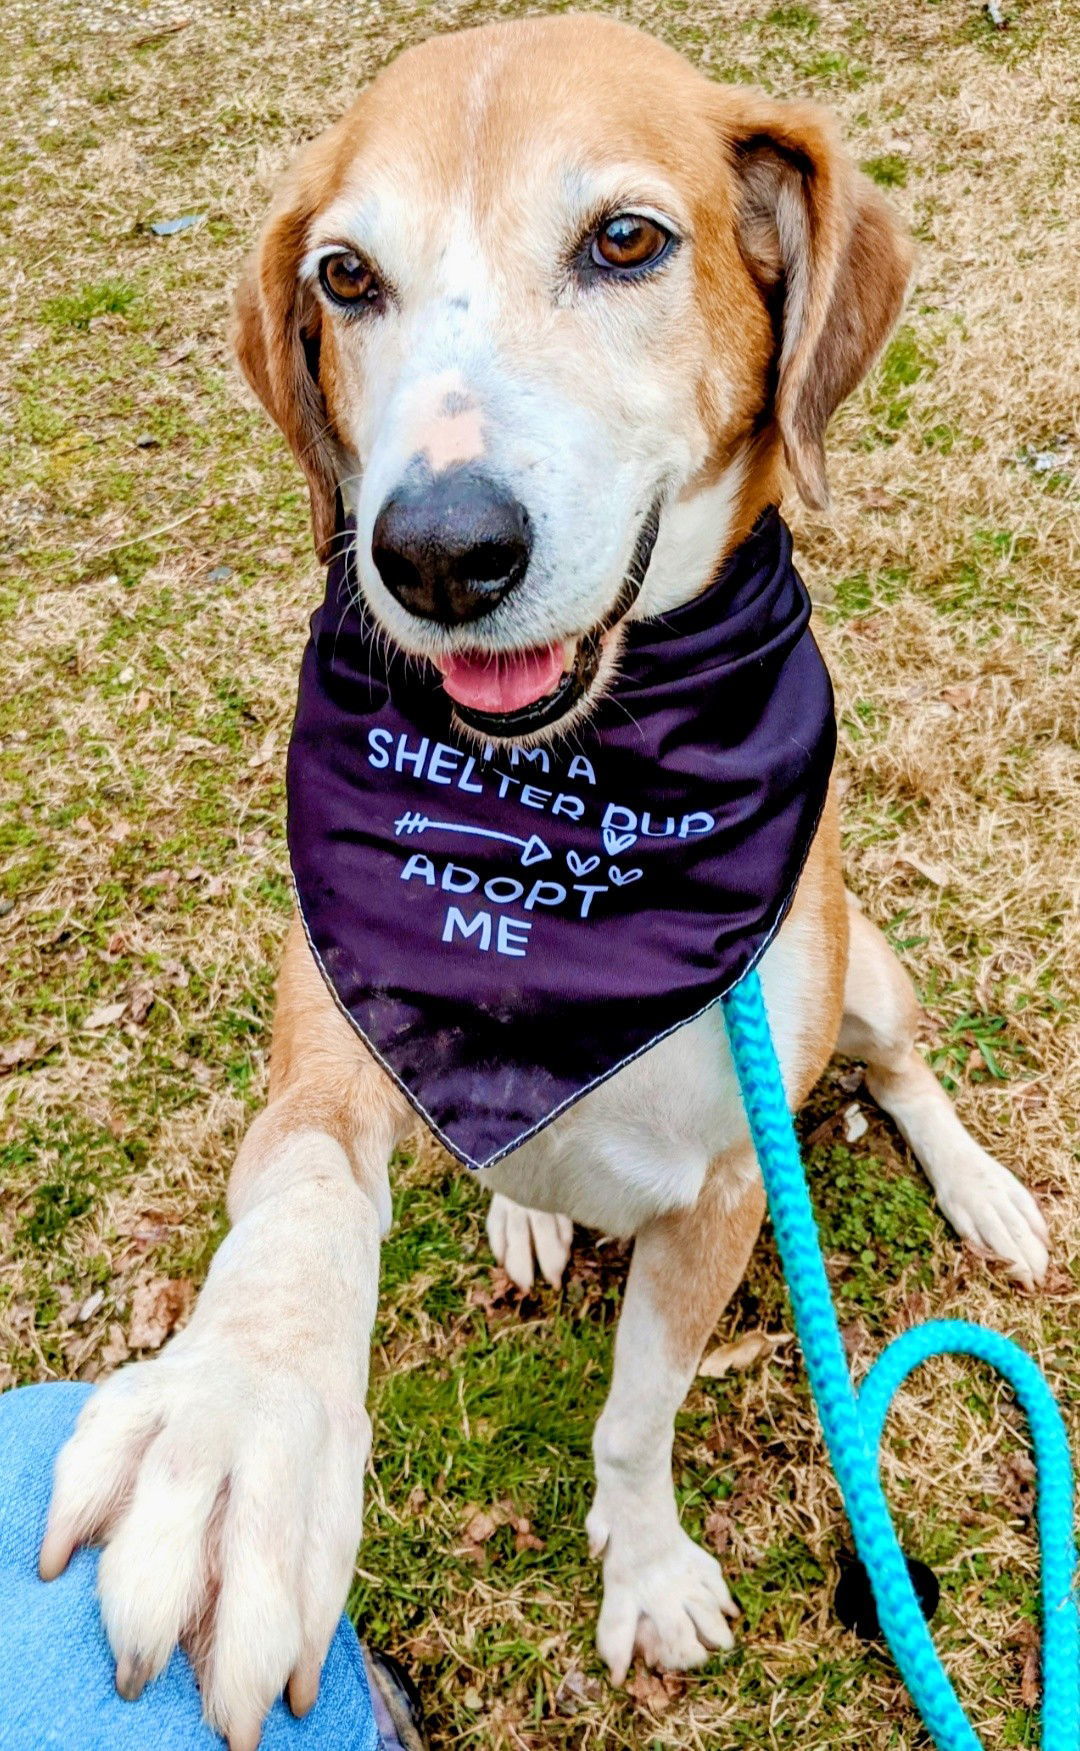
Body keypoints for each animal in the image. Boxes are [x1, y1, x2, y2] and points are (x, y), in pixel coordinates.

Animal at [37, 17, 1050, 1751]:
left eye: (626, 241)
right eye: (346, 276)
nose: (439, 550)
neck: (570, 828)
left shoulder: (726, 1186)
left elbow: (640, 1414)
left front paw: (643, 1570)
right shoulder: (337, 1029)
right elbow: (301, 1195)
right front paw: (233, 1429)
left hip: (866, 969)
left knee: (909, 1068)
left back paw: (981, 1187)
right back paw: (522, 1202)